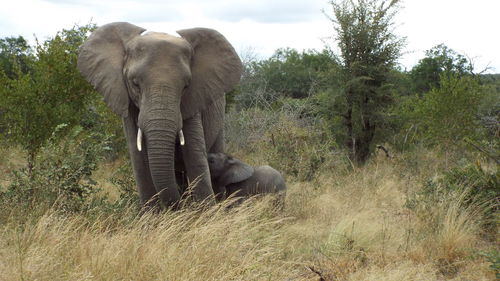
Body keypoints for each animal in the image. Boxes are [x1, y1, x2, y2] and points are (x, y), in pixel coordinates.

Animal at [78, 21, 242, 206]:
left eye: (186, 86)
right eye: (135, 84)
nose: (178, 206)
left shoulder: (193, 101)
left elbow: (195, 157)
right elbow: (139, 161)